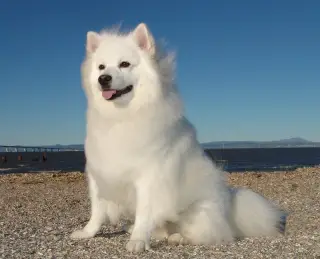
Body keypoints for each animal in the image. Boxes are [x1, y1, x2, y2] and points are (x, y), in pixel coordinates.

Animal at [70, 22, 284, 254]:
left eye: (124, 64)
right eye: (101, 67)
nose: (103, 79)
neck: (121, 117)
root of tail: (229, 215)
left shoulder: (149, 178)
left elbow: (144, 213)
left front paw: (138, 240)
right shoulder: (99, 173)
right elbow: (97, 211)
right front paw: (88, 233)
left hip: (197, 211)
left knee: (205, 234)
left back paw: (178, 237)